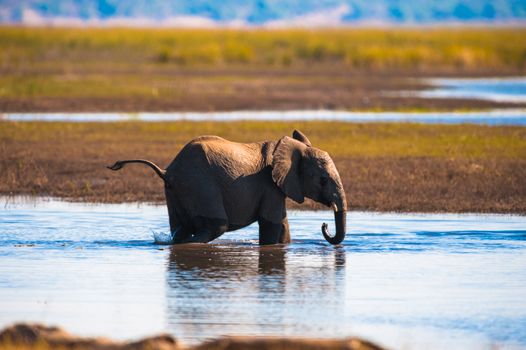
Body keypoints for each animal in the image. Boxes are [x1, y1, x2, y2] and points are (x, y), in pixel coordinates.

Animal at [107, 129, 346, 246]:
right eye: (323, 179)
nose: (324, 225)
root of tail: (167, 171)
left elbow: (283, 226)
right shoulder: (269, 185)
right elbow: (271, 224)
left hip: (176, 191)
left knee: (181, 229)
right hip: (200, 185)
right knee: (214, 227)